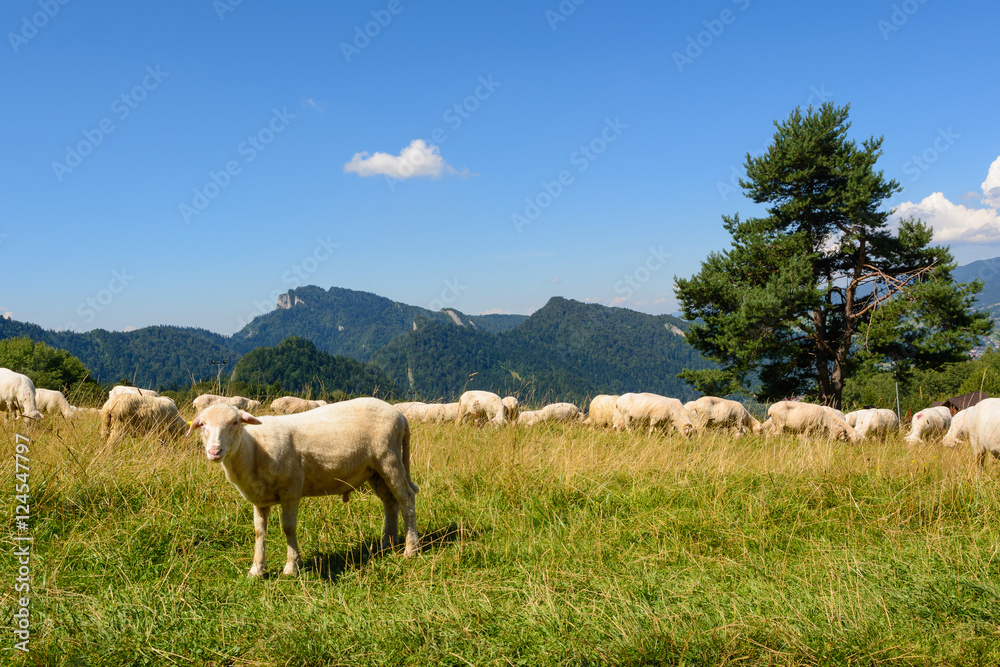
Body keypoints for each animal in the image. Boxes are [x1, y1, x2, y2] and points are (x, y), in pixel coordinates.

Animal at [187, 398, 419, 576]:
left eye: (235, 422)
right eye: (203, 424)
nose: (215, 451)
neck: (253, 448)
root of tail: (400, 415)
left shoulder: (291, 490)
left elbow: (288, 528)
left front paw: (291, 566)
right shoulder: (259, 498)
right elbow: (259, 531)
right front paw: (257, 569)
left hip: (389, 459)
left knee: (406, 499)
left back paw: (411, 549)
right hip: (374, 470)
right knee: (390, 502)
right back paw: (387, 543)